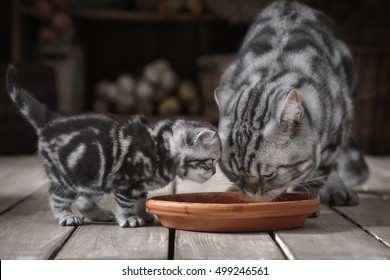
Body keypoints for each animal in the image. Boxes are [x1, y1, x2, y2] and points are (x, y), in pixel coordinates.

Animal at [6, 65, 221, 228]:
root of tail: (51, 123)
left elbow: (140, 201)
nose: (214, 172)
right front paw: (128, 218)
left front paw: (142, 214)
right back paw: (65, 216)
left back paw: (99, 214)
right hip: (69, 176)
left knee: (83, 200)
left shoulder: (138, 185)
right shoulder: (125, 181)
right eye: (210, 161)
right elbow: (126, 204)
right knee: (56, 195)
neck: (160, 146)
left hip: (94, 177)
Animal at [216, 1, 368, 205]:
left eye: (269, 174)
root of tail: (289, 3)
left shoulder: (335, 133)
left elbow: (319, 173)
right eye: (233, 173)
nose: (250, 192)